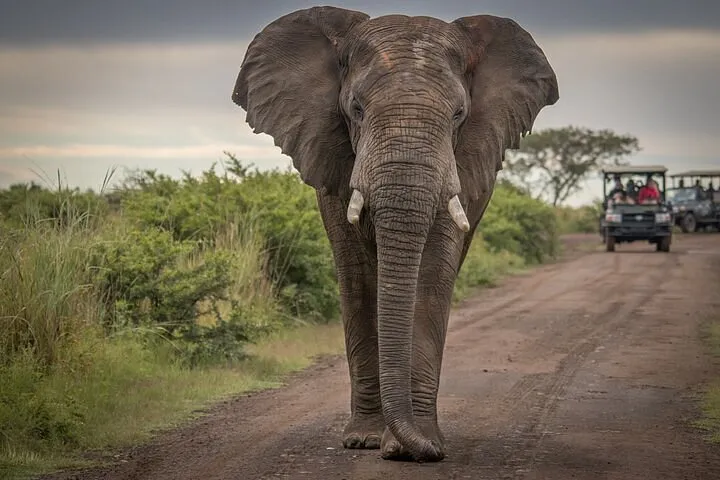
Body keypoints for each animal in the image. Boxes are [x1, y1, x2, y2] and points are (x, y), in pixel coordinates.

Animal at [231, 6, 558, 462]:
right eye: (356, 108)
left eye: (459, 115)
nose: (432, 452)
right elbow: (358, 278)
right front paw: (365, 441)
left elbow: (432, 276)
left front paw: (412, 446)